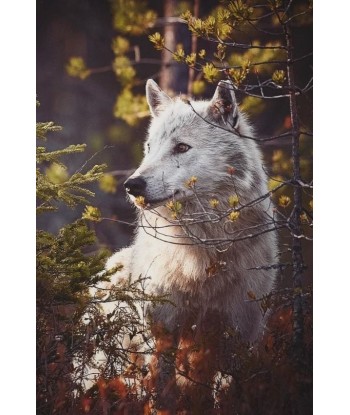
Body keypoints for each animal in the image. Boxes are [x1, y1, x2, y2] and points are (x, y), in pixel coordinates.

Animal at [100, 80, 276, 410]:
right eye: (149, 148)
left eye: (181, 147)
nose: (132, 185)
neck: (203, 251)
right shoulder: (162, 328)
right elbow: (161, 392)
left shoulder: (241, 331)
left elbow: (228, 394)